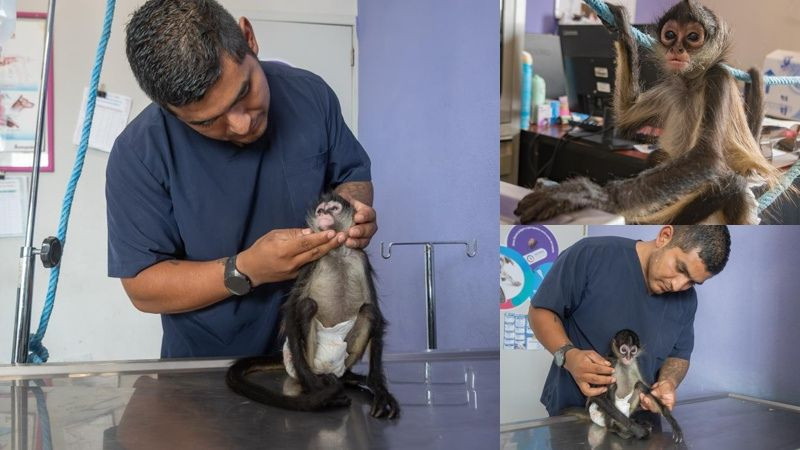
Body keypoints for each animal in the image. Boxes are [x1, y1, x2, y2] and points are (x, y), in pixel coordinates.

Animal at [226, 192, 400, 419]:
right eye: (320, 210)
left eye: (333, 209)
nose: (324, 214)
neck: (336, 252)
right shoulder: (311, 261)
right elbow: (291, 310)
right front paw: (314, 385)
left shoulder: (360, 256)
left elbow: (375, 312)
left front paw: (379, 389)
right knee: (307, 306)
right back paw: (320, 382)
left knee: (369, 312)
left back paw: (347, 378)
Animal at [515, 0, 781, 225]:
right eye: (670, 35)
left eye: (693, 37)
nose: (677, 48)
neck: (690, 84)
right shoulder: (671, 89)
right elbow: (625, 118)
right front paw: (623, 30)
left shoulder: (718, 77)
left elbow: (707, 158)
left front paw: (587, 195)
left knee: (733, 186)